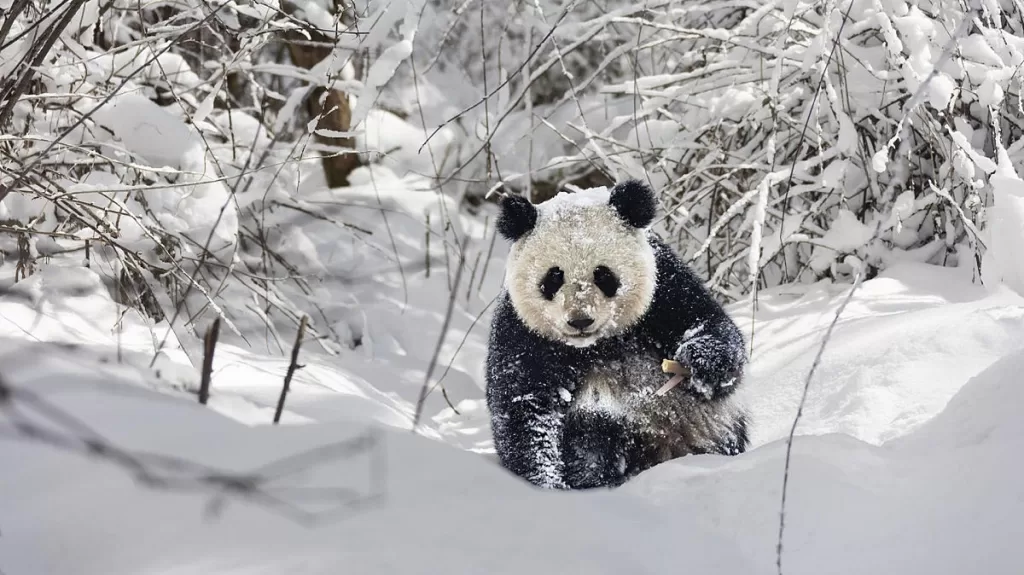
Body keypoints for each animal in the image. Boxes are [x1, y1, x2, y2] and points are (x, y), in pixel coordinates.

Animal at [485, 179, 749, 490]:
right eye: (553, 277)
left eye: (603, 274)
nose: (580, 320)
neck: (596, 345)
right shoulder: (523, 332)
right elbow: (525, 407)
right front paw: (549, 484)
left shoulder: (665, 288)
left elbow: (710, 325)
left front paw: (700, 363)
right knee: (593, 427)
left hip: (706, 426)